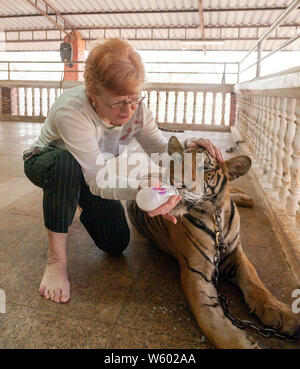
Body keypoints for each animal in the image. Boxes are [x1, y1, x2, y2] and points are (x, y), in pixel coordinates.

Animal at [125, 135, 298, 348]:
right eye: (179, 162)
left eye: (205, 169)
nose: (178, 183)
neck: (215, 215)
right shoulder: (196, 271)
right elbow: (212, 320)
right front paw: (245, 342)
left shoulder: (235, 253)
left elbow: (255, 282)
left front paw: (283, 314)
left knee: (233, 190)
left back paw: (247, 198)